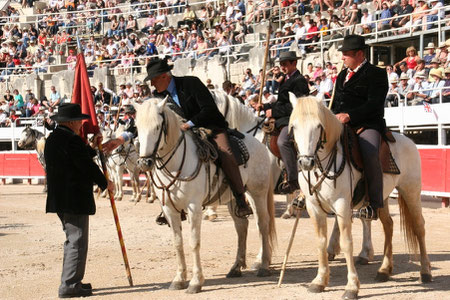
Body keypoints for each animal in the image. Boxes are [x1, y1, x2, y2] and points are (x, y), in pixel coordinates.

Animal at [134, 98, 276, 292]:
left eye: (157, 126)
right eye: (137, 126)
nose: (144, 162)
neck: (176, 163)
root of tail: (261, 145)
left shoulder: (193, 207)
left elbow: (194, 242)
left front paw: (195, 282)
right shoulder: (170, 209)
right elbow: (177, 243)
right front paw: (179, 279)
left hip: (257, 193)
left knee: (262, 224)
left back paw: (263, 266)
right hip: (234, 198)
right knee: (241, 226)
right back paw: (236, 267)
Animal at [288, 95, 432, 298]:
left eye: (318, 126)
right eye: (293, 127)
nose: (306, 162)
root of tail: (408, 140)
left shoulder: (342, 205)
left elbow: (347, 243)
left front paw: (352, 287)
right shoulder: (313, 207)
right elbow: (320, 242)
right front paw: (319, 281)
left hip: (410, 191)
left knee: (419, 227)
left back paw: (425, 272)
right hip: (382, 197)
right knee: (389, 226)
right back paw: (384, 270)